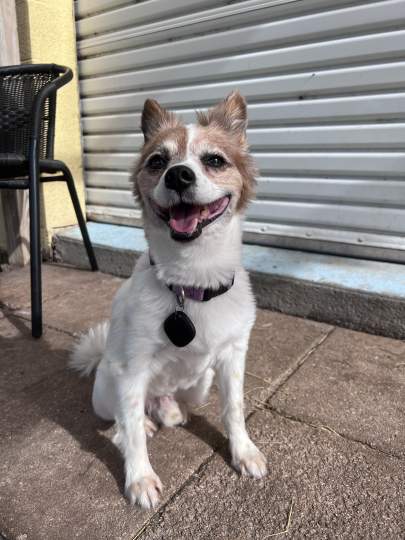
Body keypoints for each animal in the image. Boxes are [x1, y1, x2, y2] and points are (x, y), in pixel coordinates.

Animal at [71, 90, 266, 508]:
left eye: (214, 160)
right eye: (157, 162)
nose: (178, 175)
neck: (192, 282)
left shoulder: (233, 356)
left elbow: (234, 408)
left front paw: (243, 452)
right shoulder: (131, 370)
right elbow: (129, 429)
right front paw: (140, 478)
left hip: (201, 380)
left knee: (173, 405)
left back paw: (172, 411)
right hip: (108, 386)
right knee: (122, 422)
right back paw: (144, 422)